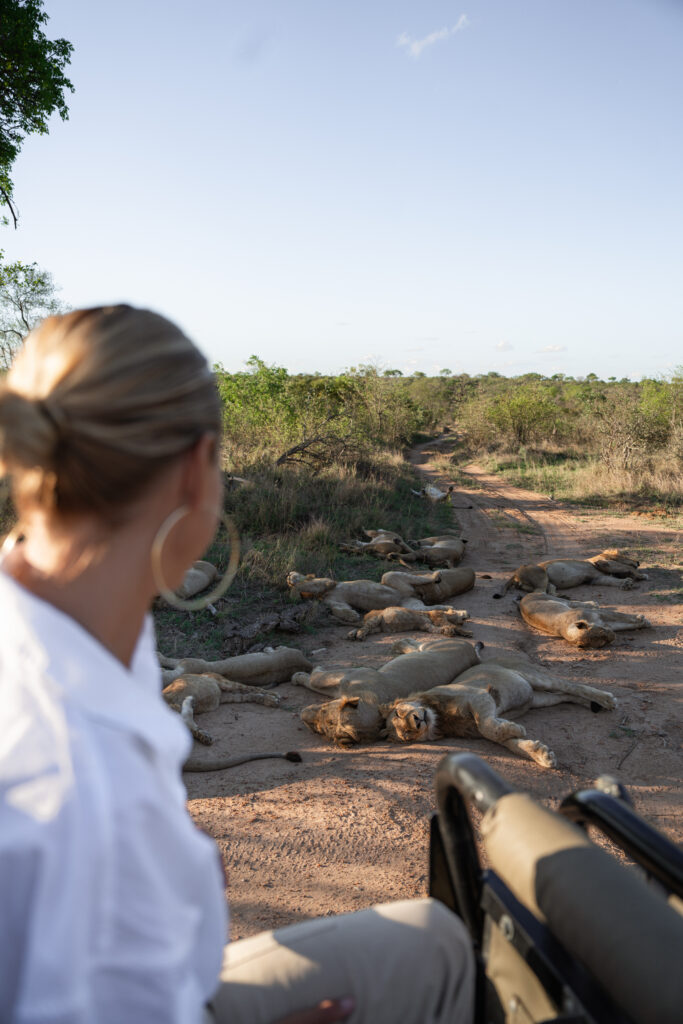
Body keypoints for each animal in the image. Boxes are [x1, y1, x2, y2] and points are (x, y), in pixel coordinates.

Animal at [382, 655, 618, 770]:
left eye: (399, 713)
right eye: (407, 735)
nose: (417, 721)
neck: (441, 720)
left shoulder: (479, 696)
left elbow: (489, 727)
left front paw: (518, 729)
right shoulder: (483, 723)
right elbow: (511, 743)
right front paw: (542, 754)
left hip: (534, 677)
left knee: (572, 685)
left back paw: (607, 699)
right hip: (539, 699)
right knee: (566, 695)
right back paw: (591, 704)